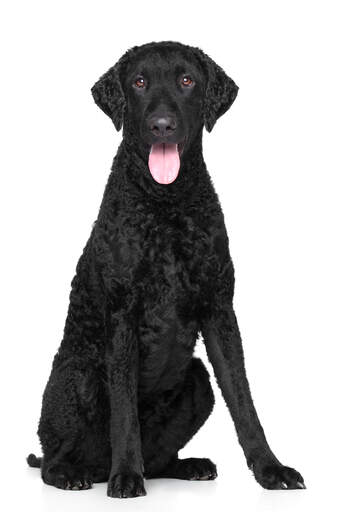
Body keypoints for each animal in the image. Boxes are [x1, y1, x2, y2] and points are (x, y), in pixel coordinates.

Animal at [25, 42, 302, 498]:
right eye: (139, 81)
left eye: (187, 80)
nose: (161, 126)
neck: (166, 208)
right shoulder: (122, 313)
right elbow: (125, 411)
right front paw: (125, 476)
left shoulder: (219, 309)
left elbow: (244, 401)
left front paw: (271, 469)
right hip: (79, 375)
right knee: (51, 457)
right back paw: (75, 474)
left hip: (197, 380)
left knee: (160, 458)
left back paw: (187, 466)